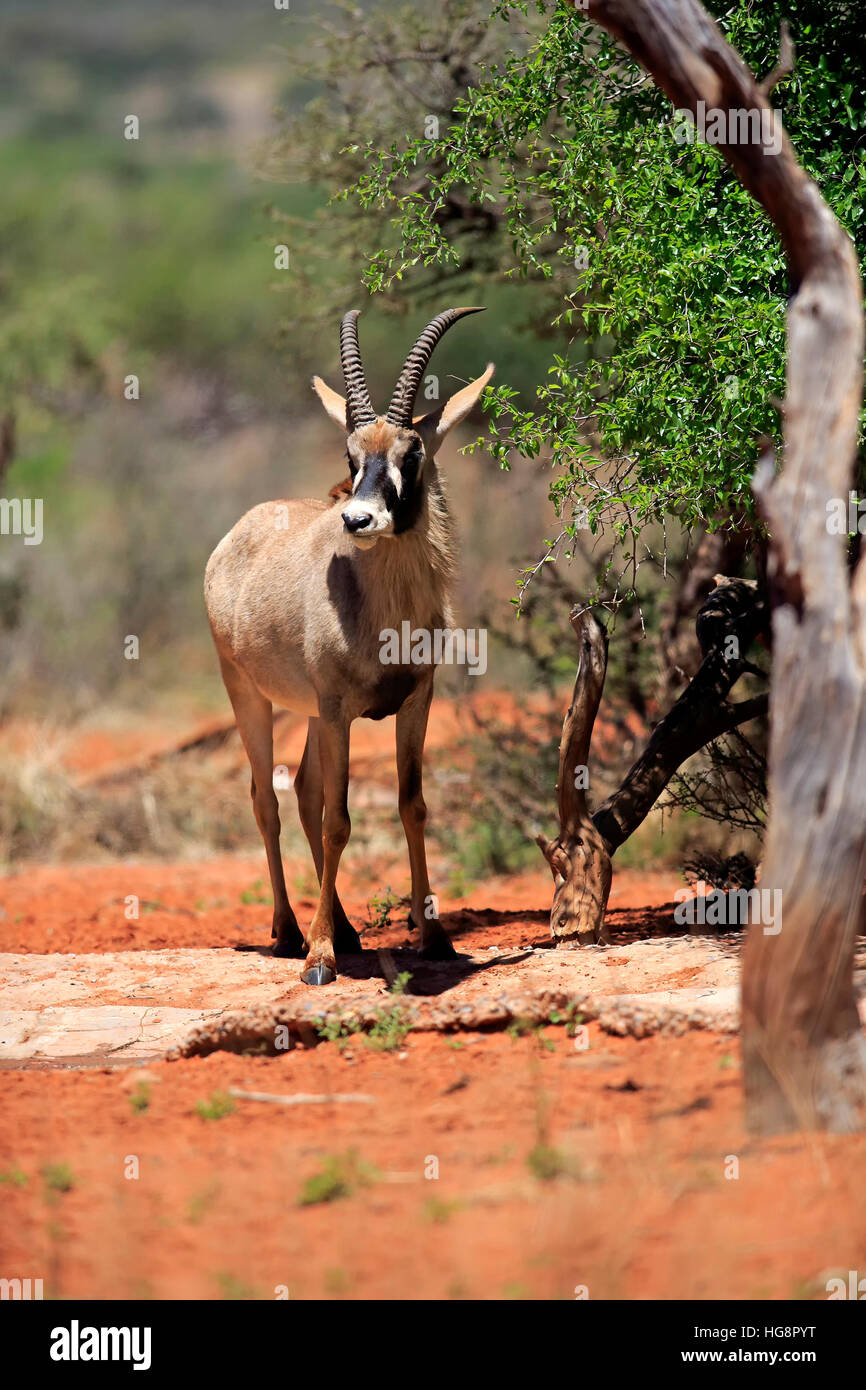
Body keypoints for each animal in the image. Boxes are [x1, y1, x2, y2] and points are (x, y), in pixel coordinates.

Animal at [204, 309, 494, 984]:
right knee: (268, 799)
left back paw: (344, 929)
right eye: (350, 454)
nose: (358, 521)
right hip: (249, 693)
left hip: (312, 713)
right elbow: (339, 821)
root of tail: (237, 534)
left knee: (305, 792)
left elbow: (412, 806)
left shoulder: (415, 702)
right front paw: (319, 959)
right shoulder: (340, 712)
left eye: (412, 452)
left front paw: (435, 938)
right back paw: (291, 933)